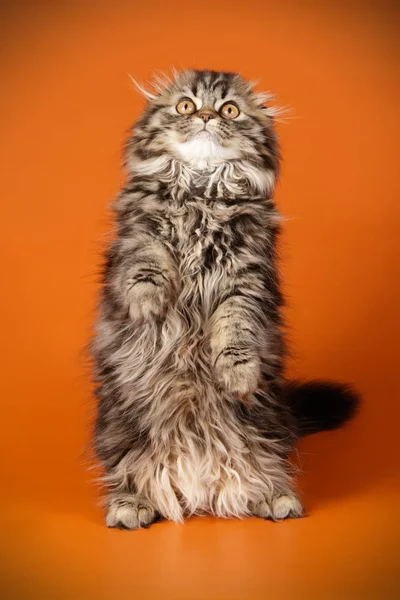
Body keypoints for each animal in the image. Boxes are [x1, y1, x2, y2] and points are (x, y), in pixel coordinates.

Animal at [91, 70, 360, 528]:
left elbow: (236, 332)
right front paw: (148, 304)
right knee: (129, 473)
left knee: (260, 466)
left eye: (229, 110)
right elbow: (147, 264)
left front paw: (237, 374)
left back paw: (273, 498)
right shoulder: (138, 234)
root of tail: (197, 484)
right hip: (121, 428)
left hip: (265, 426)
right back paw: (132, 505)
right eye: (185, 105)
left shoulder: (245, 278)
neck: (201, 193)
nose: (204, 116)